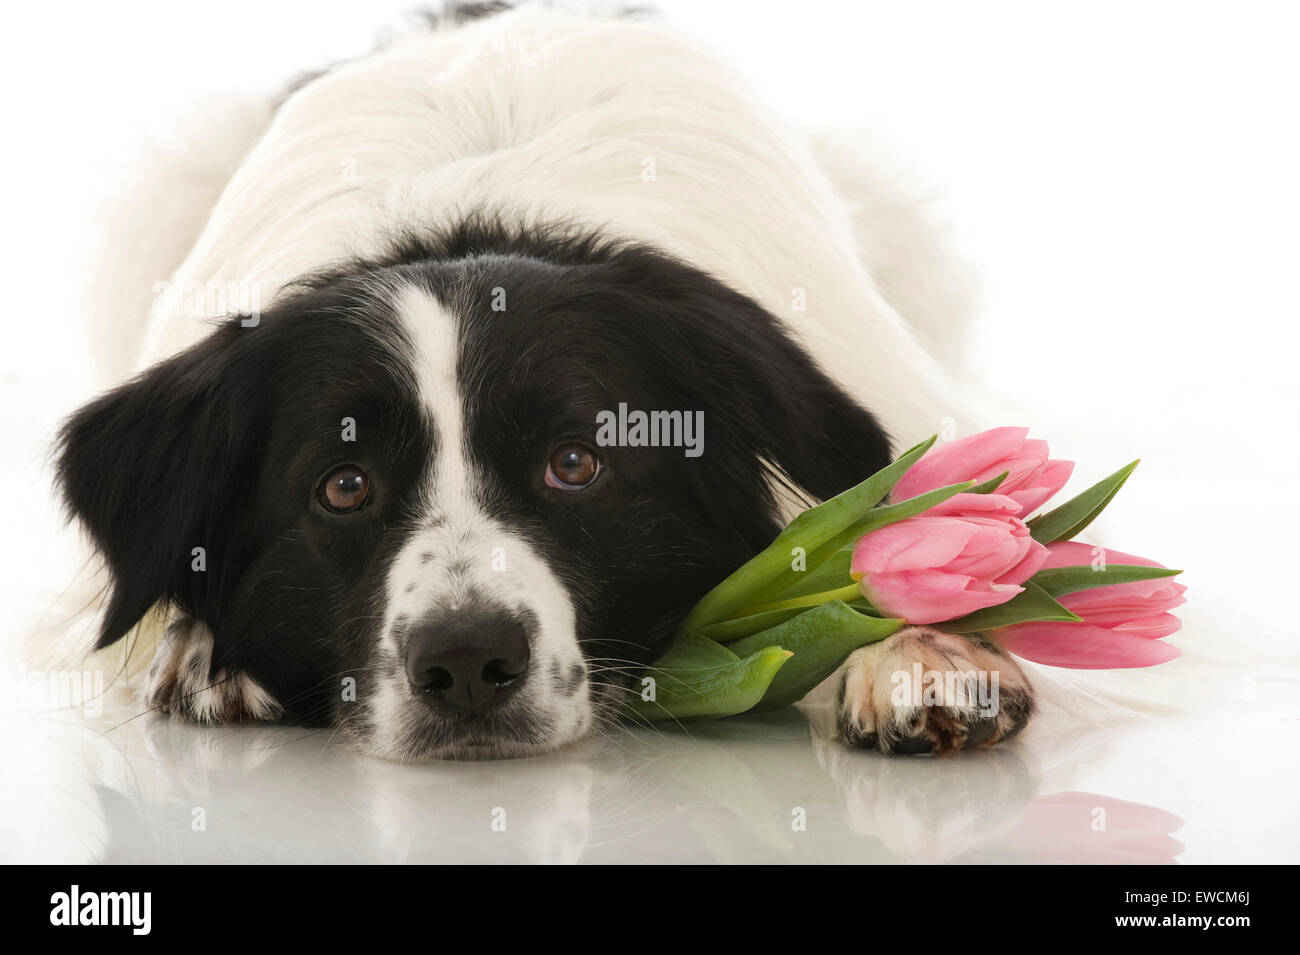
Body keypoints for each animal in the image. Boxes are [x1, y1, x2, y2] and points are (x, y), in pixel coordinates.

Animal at [45, 1, 1029, 764]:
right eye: (344, 485)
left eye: (576, 463)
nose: (467, 661)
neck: (471, 229)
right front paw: (207, 644)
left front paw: (926, 651)